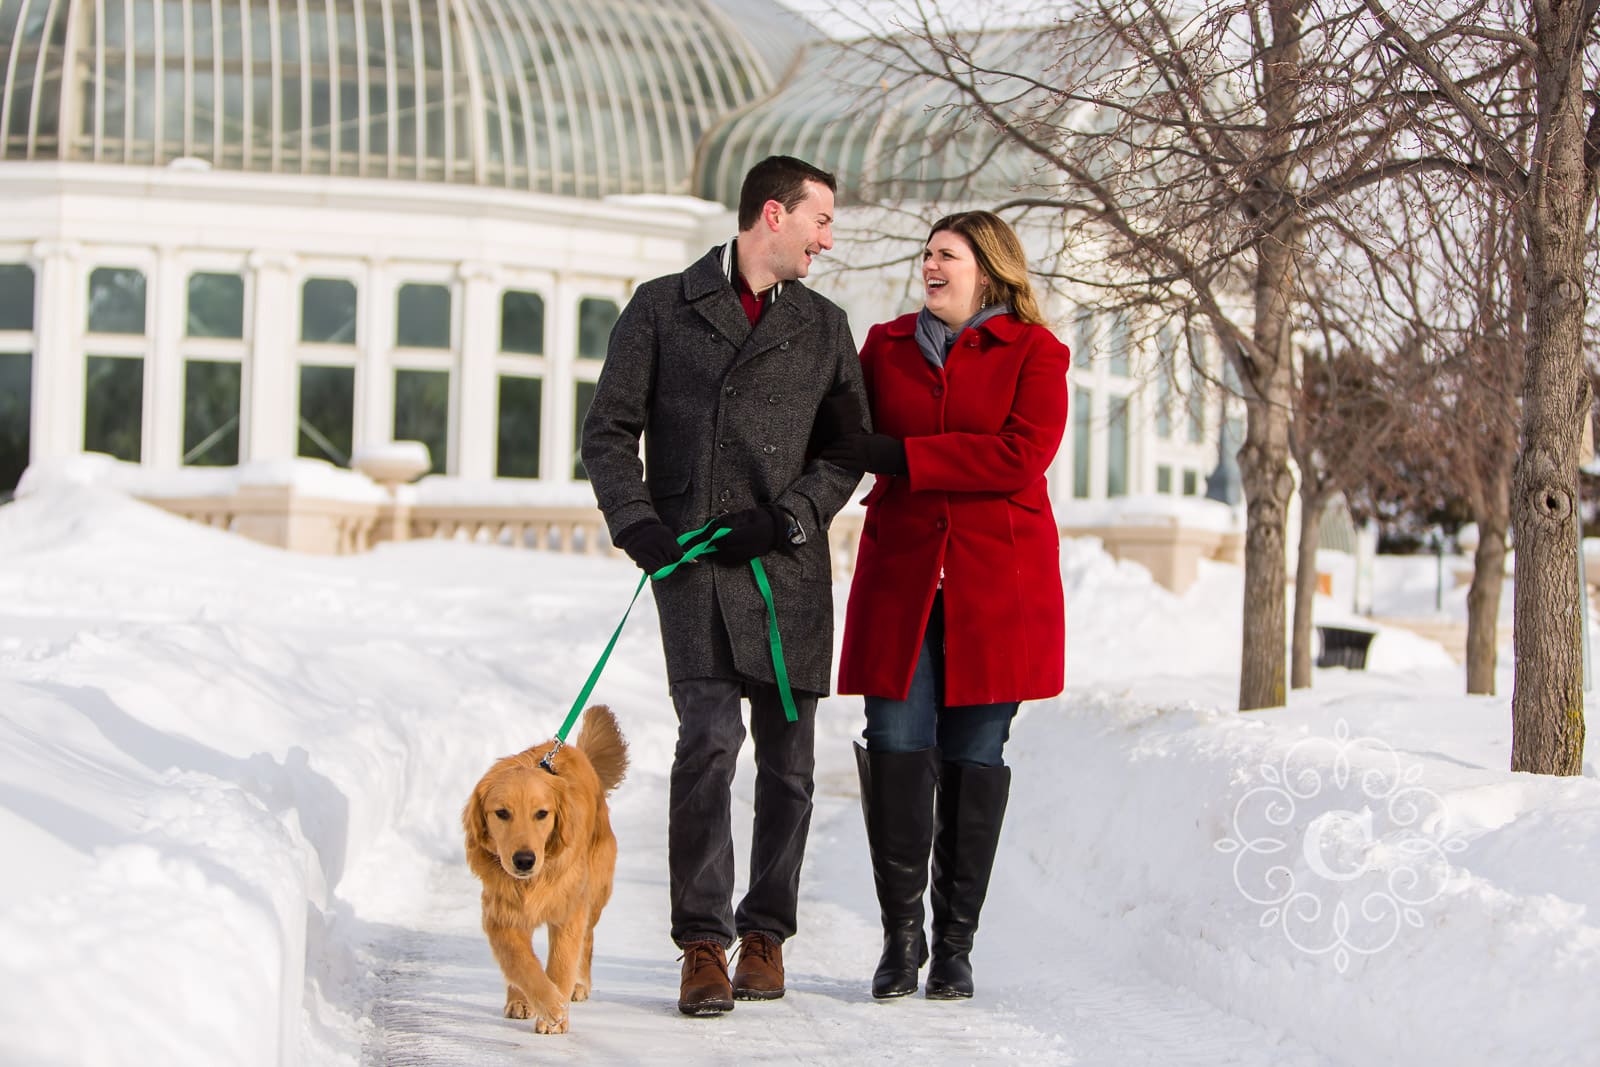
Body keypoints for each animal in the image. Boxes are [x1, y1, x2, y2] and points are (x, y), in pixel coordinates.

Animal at [464, 703, 624, 1030]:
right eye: (501, 813)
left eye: (542, 814)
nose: (524, 860)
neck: (531, 881)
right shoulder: (500, 914)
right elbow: (519, 962)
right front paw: (547, 1003)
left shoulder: (569, 909)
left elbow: (562, 962)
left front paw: (556, 1014)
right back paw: (519, 1001)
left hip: (595, 891)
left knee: (587, 940)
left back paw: (579, 984)